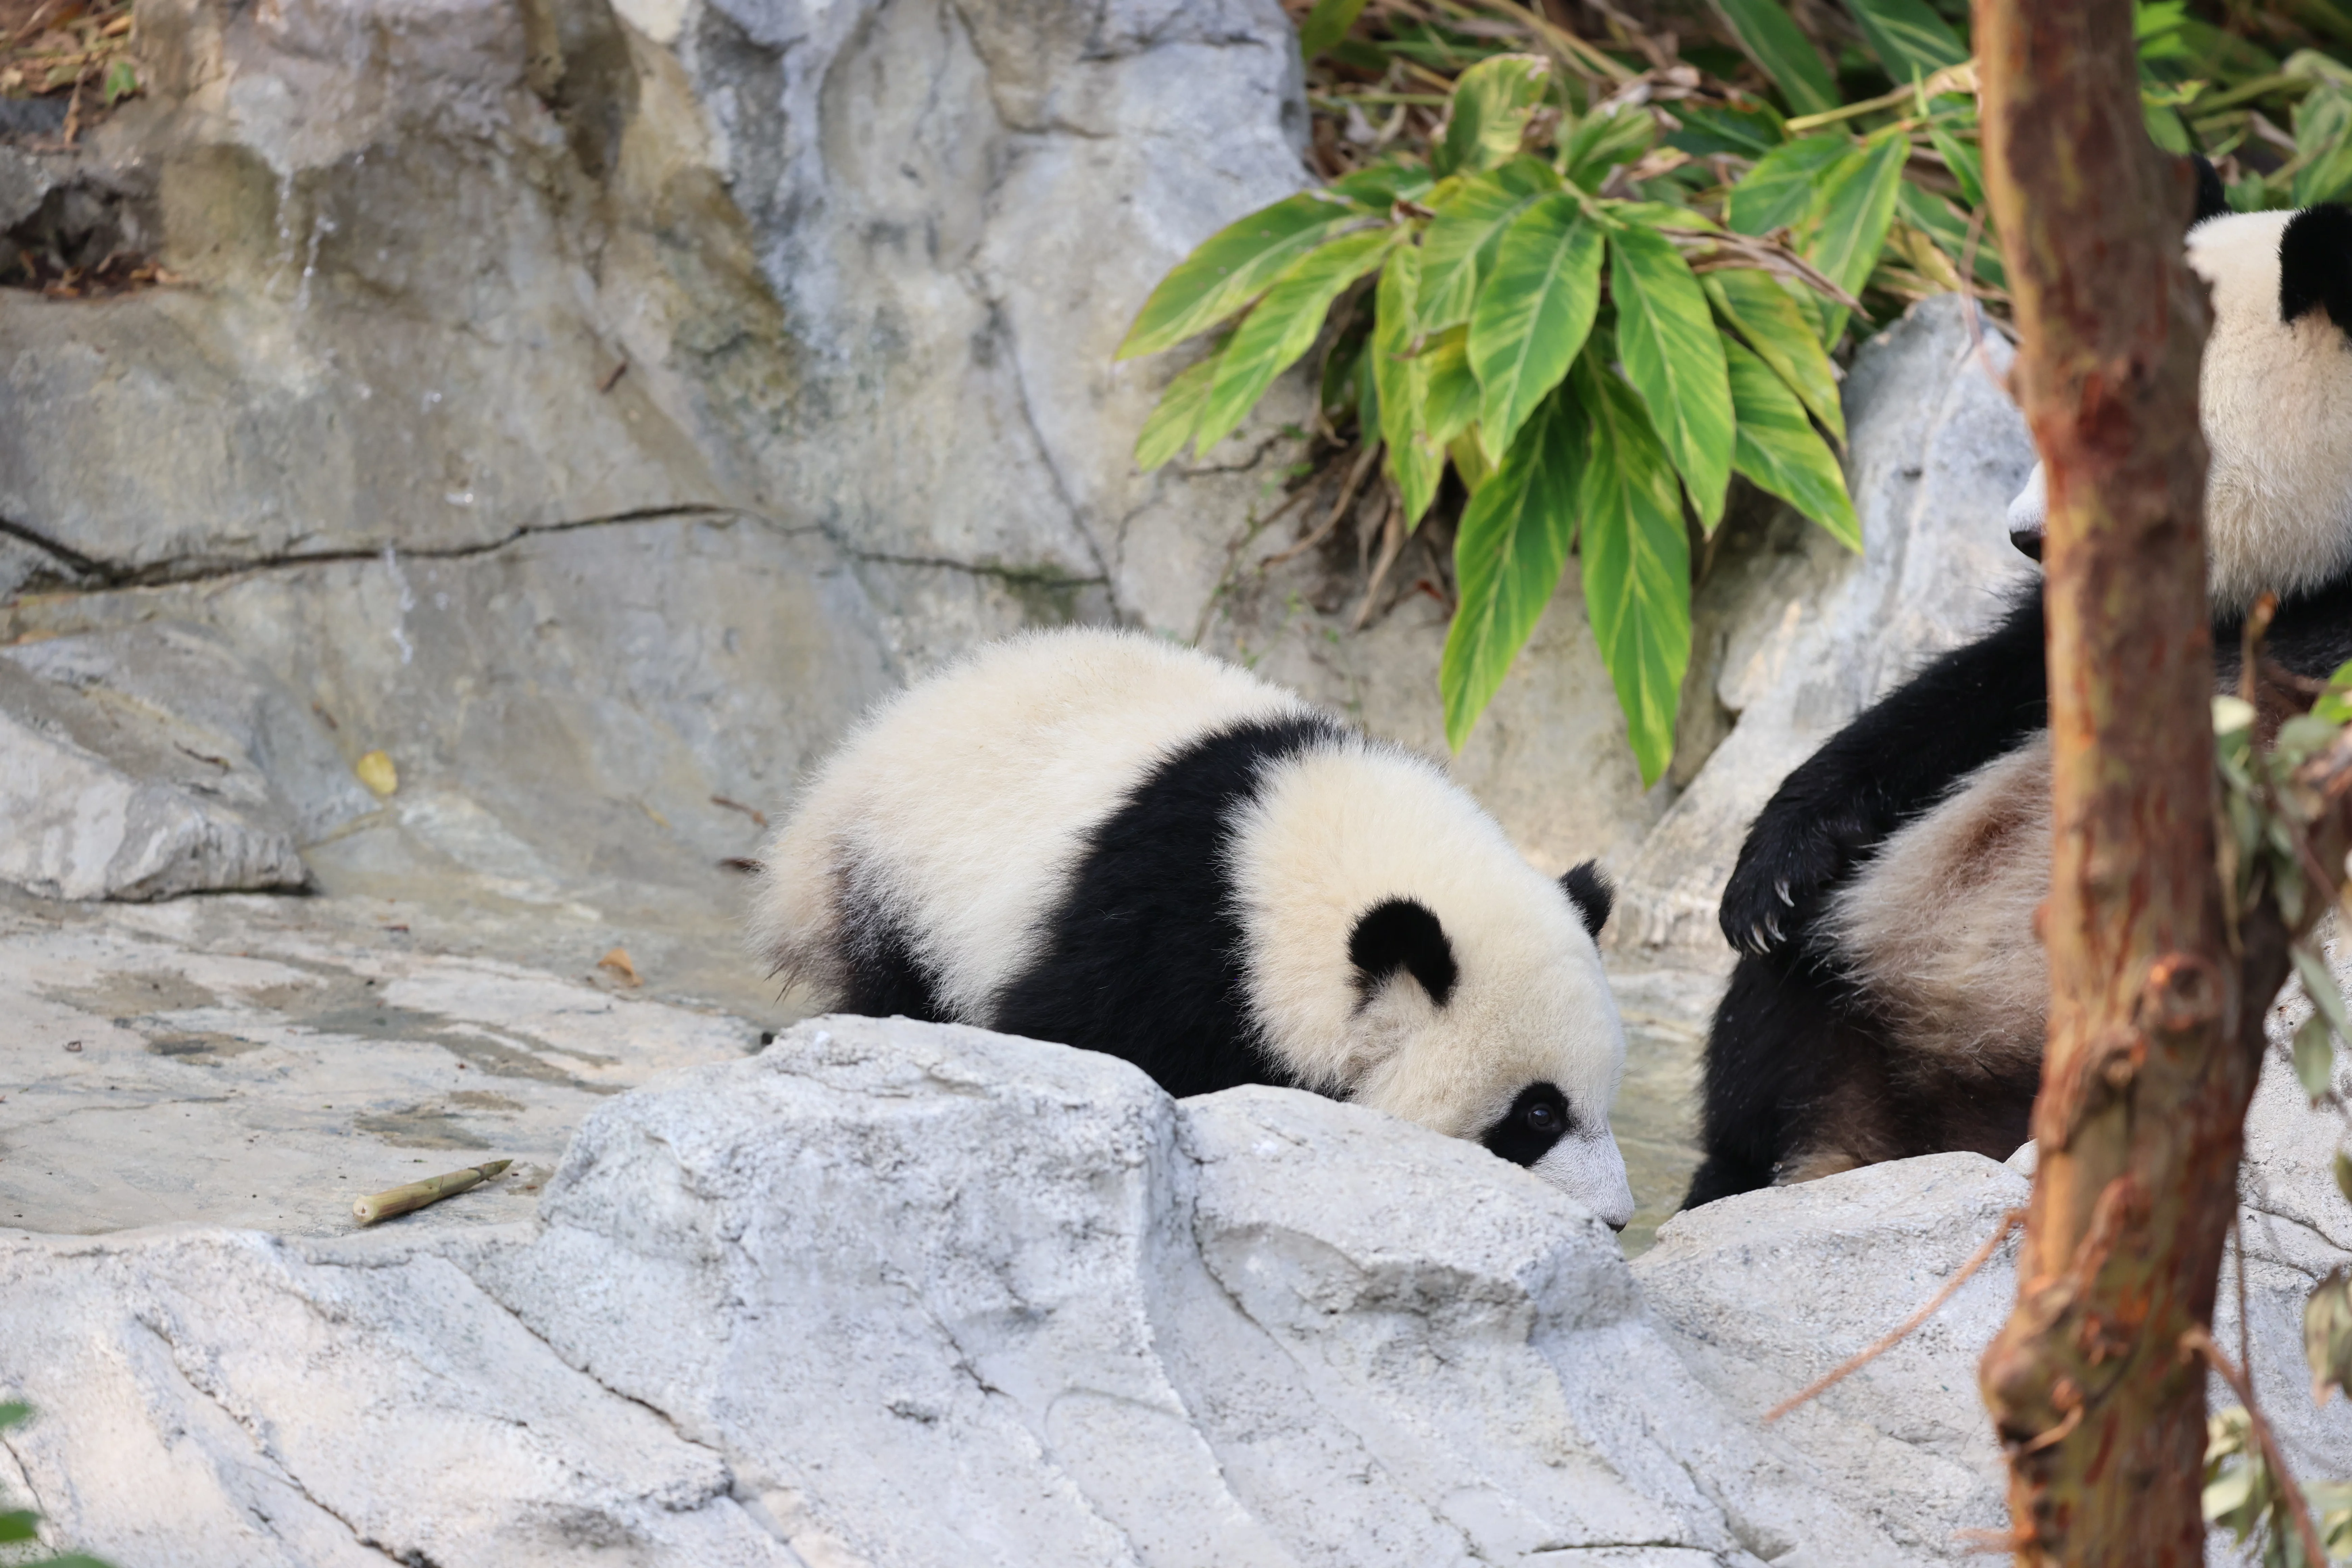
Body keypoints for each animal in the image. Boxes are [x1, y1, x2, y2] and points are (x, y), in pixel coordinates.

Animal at [1684, 177, 2352, 1209]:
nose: (2031, 536)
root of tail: (1905, 1132)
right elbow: (1963, 695)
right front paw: (1771, 869)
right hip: (1862, 955)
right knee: (1774, 1020)